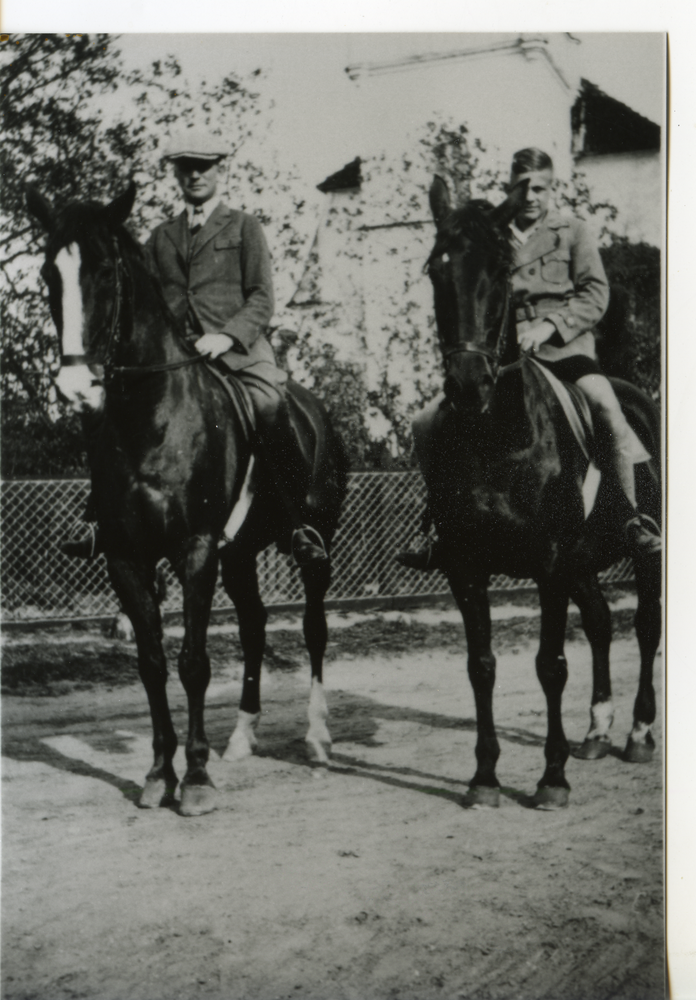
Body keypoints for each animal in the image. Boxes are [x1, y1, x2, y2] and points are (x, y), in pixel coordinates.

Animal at [27, 184, 348, 816]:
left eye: (104, 271)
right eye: (50, 274)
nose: (76, 389)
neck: (151, 419)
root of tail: (313, 408)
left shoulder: (195, 550)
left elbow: (194, 663)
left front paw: (195, 779)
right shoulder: (126, 558)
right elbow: (152, 664)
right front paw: (158, 773)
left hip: (312, 550)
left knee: (314, 629)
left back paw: (318, 736)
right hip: (240, 554)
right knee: (253, 625)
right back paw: (243, 735)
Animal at [416, 176, 660, 808]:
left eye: (501, 271)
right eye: (435, 268)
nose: (467, 384)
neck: (498, 434)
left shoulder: (550, 564)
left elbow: (551, 664)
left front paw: (552, 777)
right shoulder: (467, 567)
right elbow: (481, 665)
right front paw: (484, 777)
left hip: (638, 554)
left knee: (646, 627)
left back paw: (638, 733)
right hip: (583, 560)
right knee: (600, 623)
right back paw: (596, 731)